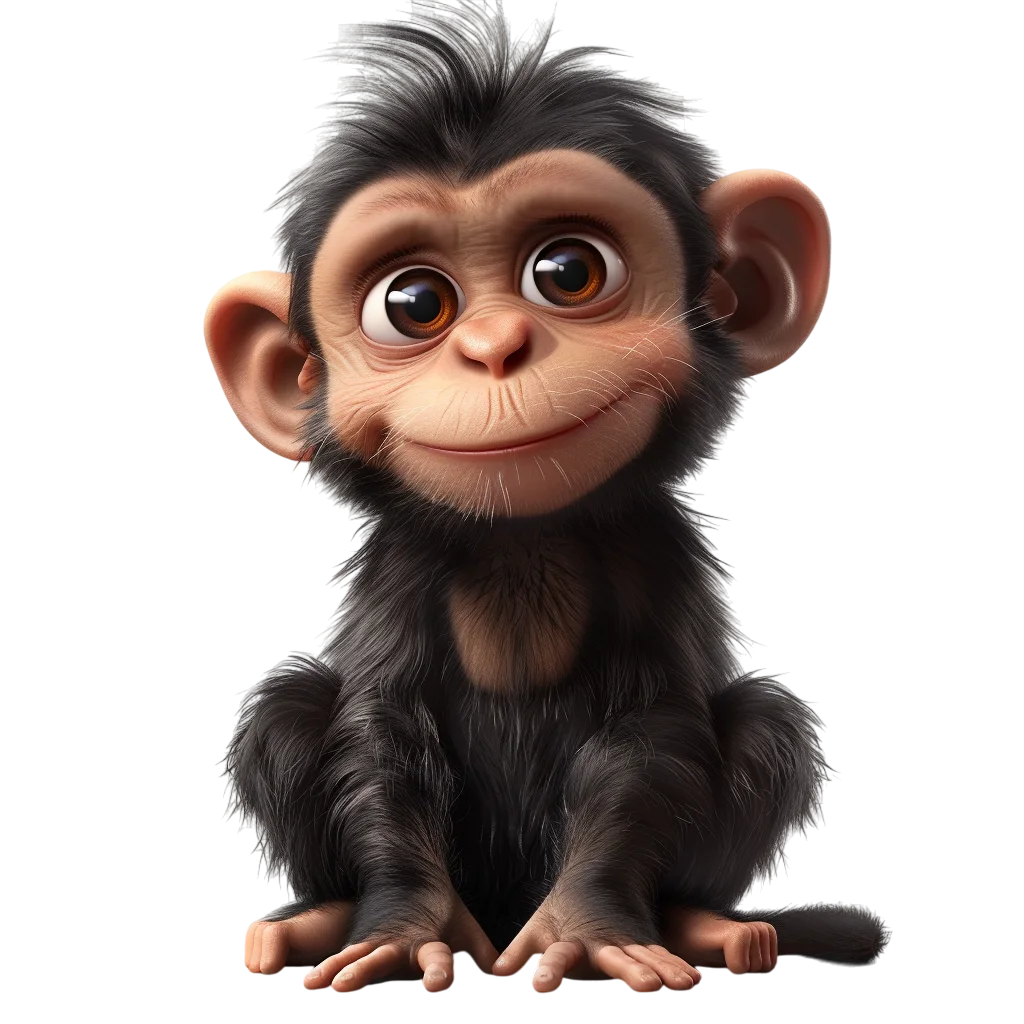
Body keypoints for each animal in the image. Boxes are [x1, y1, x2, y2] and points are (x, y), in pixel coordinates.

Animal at [203, 1, 891, 997]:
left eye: (568, 271)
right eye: (413, 302)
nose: (495, 346)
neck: (517, 539)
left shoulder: (654, 551)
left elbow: (652, 730)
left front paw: (589, 920)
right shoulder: (397, 562)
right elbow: (380, 727)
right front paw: (404, 921)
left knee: (764, 728)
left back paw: (705, 923)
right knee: (288, 711)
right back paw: (316, 914)